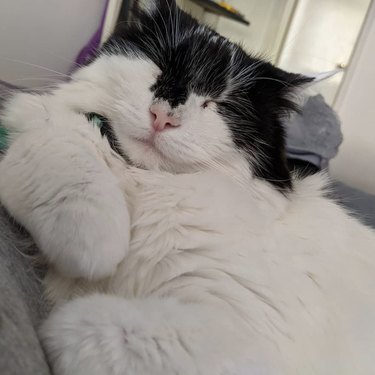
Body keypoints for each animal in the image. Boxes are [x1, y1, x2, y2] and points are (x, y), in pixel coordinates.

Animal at [0, 0, 375, 374]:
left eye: (218, 104)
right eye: (159, 67)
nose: (163, 117)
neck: (148, 181)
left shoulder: (245, 332)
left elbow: (76, 326)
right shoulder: (43, 127)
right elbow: (74, 188)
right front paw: (97, 248)